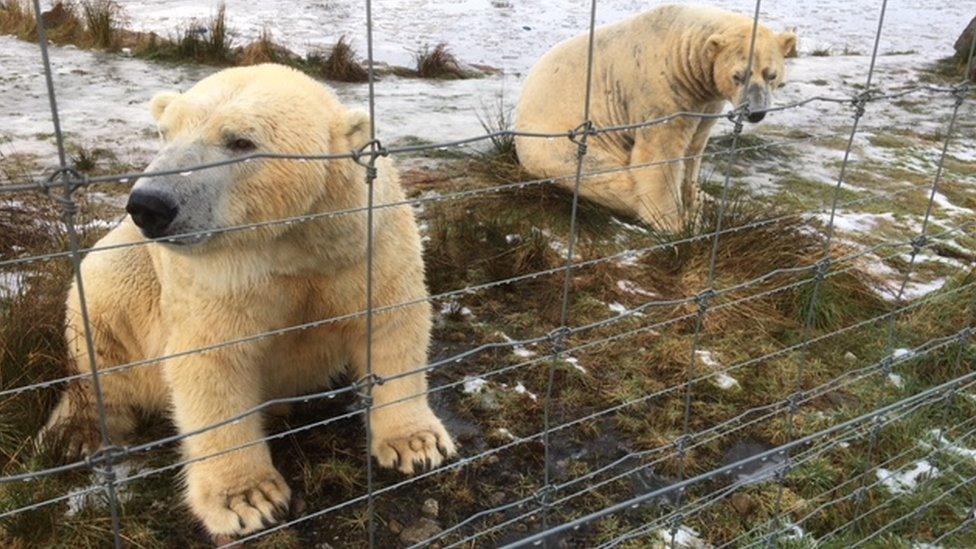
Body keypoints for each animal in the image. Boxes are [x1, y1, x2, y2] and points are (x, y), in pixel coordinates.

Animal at [41, 63, 458, 536]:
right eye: (165, 132)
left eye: (240, 141)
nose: (150, 204)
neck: (292, 244)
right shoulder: (219, 277)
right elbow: (213, 362)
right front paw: (248, 500)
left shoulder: (365, 242)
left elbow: (392, 323)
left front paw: (416, 444)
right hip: (124, 272)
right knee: (100, 327)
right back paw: (77, 430)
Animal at [516, 3, 796, 229]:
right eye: (738, 76)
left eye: (771, 74)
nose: (756, 113)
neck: (682, 51)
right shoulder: (662, 91)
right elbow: (660, 156)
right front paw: (675, 224)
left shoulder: (705, 101)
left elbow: (695, 147)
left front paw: (693, 198)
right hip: (563, 148)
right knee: (609, 179)